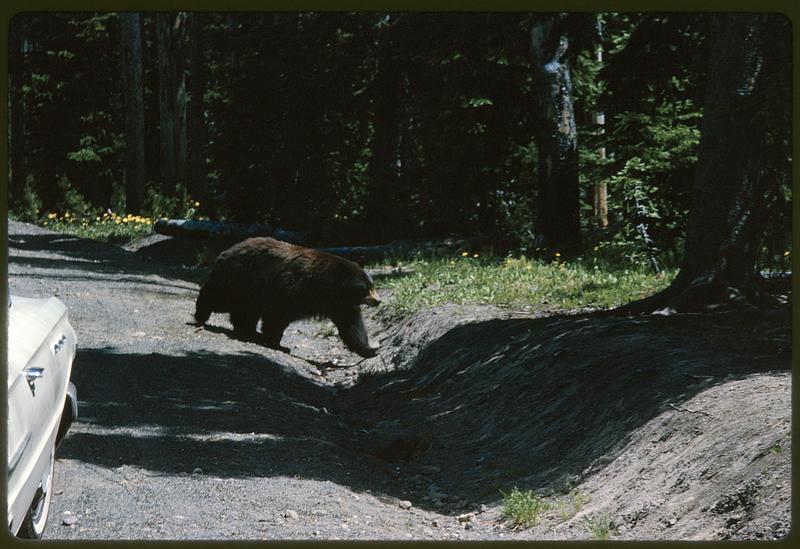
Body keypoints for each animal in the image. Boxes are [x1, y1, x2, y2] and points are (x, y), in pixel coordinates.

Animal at [195, 237, 382, 358]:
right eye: (364, 288)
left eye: (372, 285)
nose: (378, 300)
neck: (325, 287)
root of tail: (227, 250)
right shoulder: (291, 289)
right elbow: (278, 315)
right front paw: (276, 342)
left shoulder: (340, 304)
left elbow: (351, 325)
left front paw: (369, 349)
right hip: (240, 279)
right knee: (218, 297)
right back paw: (201, 316)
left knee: (245, 311)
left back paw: (248, 331)